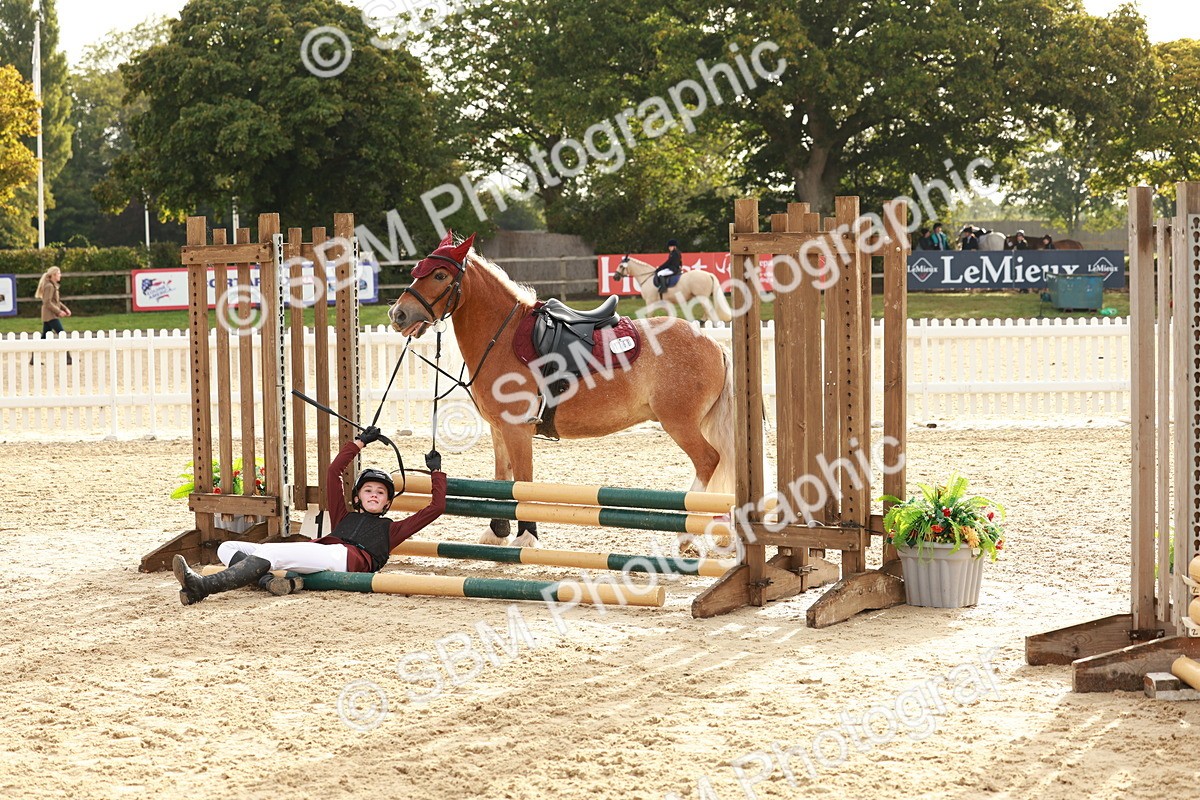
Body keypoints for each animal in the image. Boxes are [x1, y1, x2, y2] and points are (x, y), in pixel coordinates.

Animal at [388, 233, 736, 548]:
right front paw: (497, 531)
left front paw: (526, 536)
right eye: (418, 271)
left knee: (708, 461)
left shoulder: (517, 430)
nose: (398, 314)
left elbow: (522, 481)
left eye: (440, 275)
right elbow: (502, 478)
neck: (503, 337)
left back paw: (683, 537)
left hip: (679, 423)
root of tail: (713, 343)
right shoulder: (498, 430)